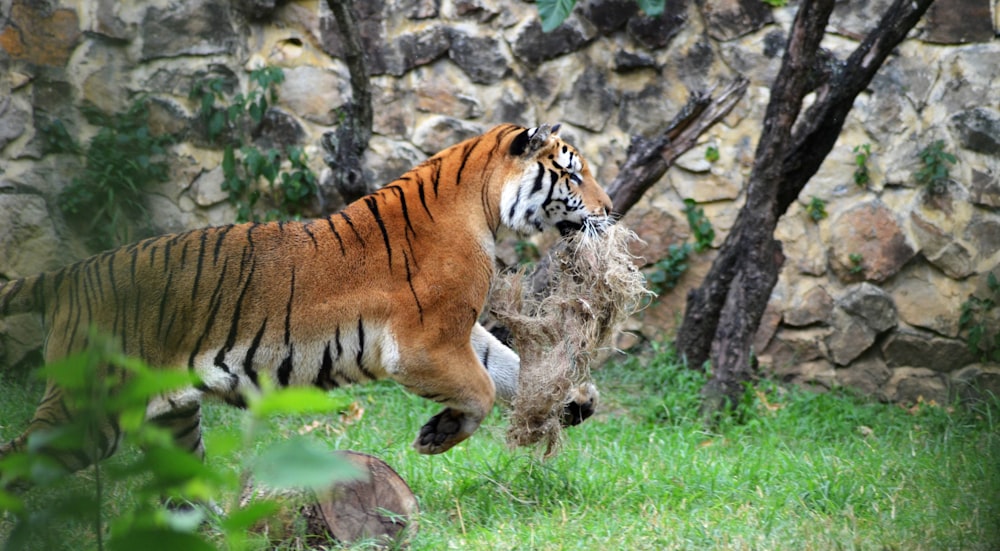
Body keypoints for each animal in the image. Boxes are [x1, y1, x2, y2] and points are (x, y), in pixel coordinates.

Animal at [0, 123, 608, 486]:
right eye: (573, 174)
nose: (611, 209)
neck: (482, 206)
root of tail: (69, 274)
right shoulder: (421, 345)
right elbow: (481, 389)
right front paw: (437, 437)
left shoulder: (457, 333)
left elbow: (506, 367)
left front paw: (575, 398)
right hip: (87, 408)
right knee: (19, 458)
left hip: (172, 419)